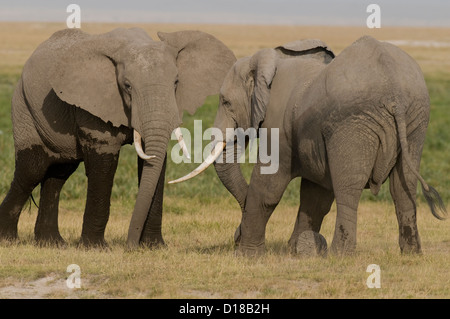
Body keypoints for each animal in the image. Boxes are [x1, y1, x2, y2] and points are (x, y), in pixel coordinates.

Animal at [0, 26, 237, 249]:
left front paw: (154, 247)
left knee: (59, 172)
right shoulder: (94, 103)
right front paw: (95, 248)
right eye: (127, 86)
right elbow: (104, 164)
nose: (130, 245)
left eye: (176, 82)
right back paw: (9, 240)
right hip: (23, 107)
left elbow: (154, 161)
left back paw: (52, 243)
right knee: (33, 168)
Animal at [171, 36, 446, 258]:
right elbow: (316, 194)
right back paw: (411, 254)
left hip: (353, 123)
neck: (266, 61)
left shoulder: (278, 121)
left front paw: (246, 256)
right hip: (416, 120)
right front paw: (298, 250)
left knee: (348, 188)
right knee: (403, 185)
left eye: (226, 102)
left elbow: (269, 186)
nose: (235, 236)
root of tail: (395, 91)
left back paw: (339, 256)